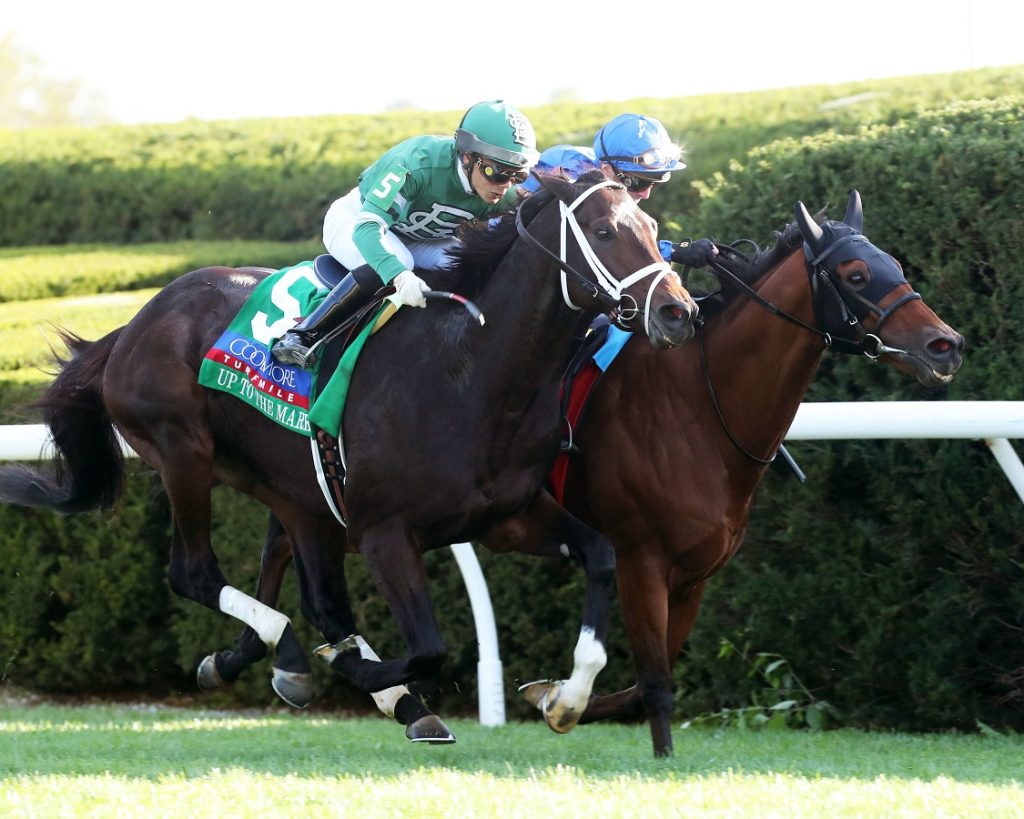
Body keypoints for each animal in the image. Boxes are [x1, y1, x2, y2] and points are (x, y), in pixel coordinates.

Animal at [0, 176, 696, 745]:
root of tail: (135, 324)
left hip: (290, 488)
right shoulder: (385, 532)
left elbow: (601, 557)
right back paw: (299, 659)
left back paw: (279, 665)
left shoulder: (507, 518)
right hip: (182, 453)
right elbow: (430, 647)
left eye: (652, 227)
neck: (472, 372)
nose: (678, 312)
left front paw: (564, 698)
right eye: (604, 231)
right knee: (195, 573)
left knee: (311, 592)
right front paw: (363, 671)